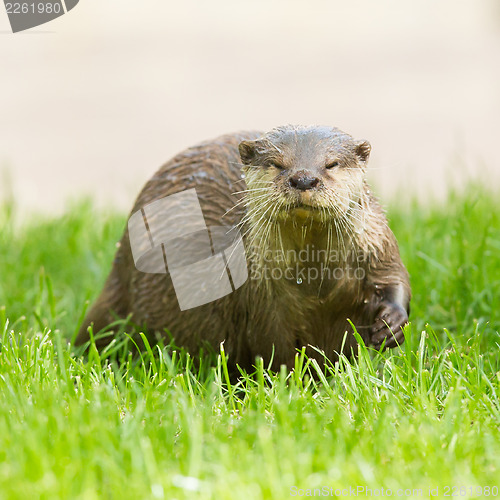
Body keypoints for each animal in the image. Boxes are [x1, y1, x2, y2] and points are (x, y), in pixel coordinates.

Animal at [75, 125, 410, 372]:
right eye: (277, 164)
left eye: (331, 163)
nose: (304, 178)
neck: (315, 282)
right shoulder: (261, 297)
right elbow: (272, 348)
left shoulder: (378, 245)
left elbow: (394, 280)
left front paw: (390, 325)